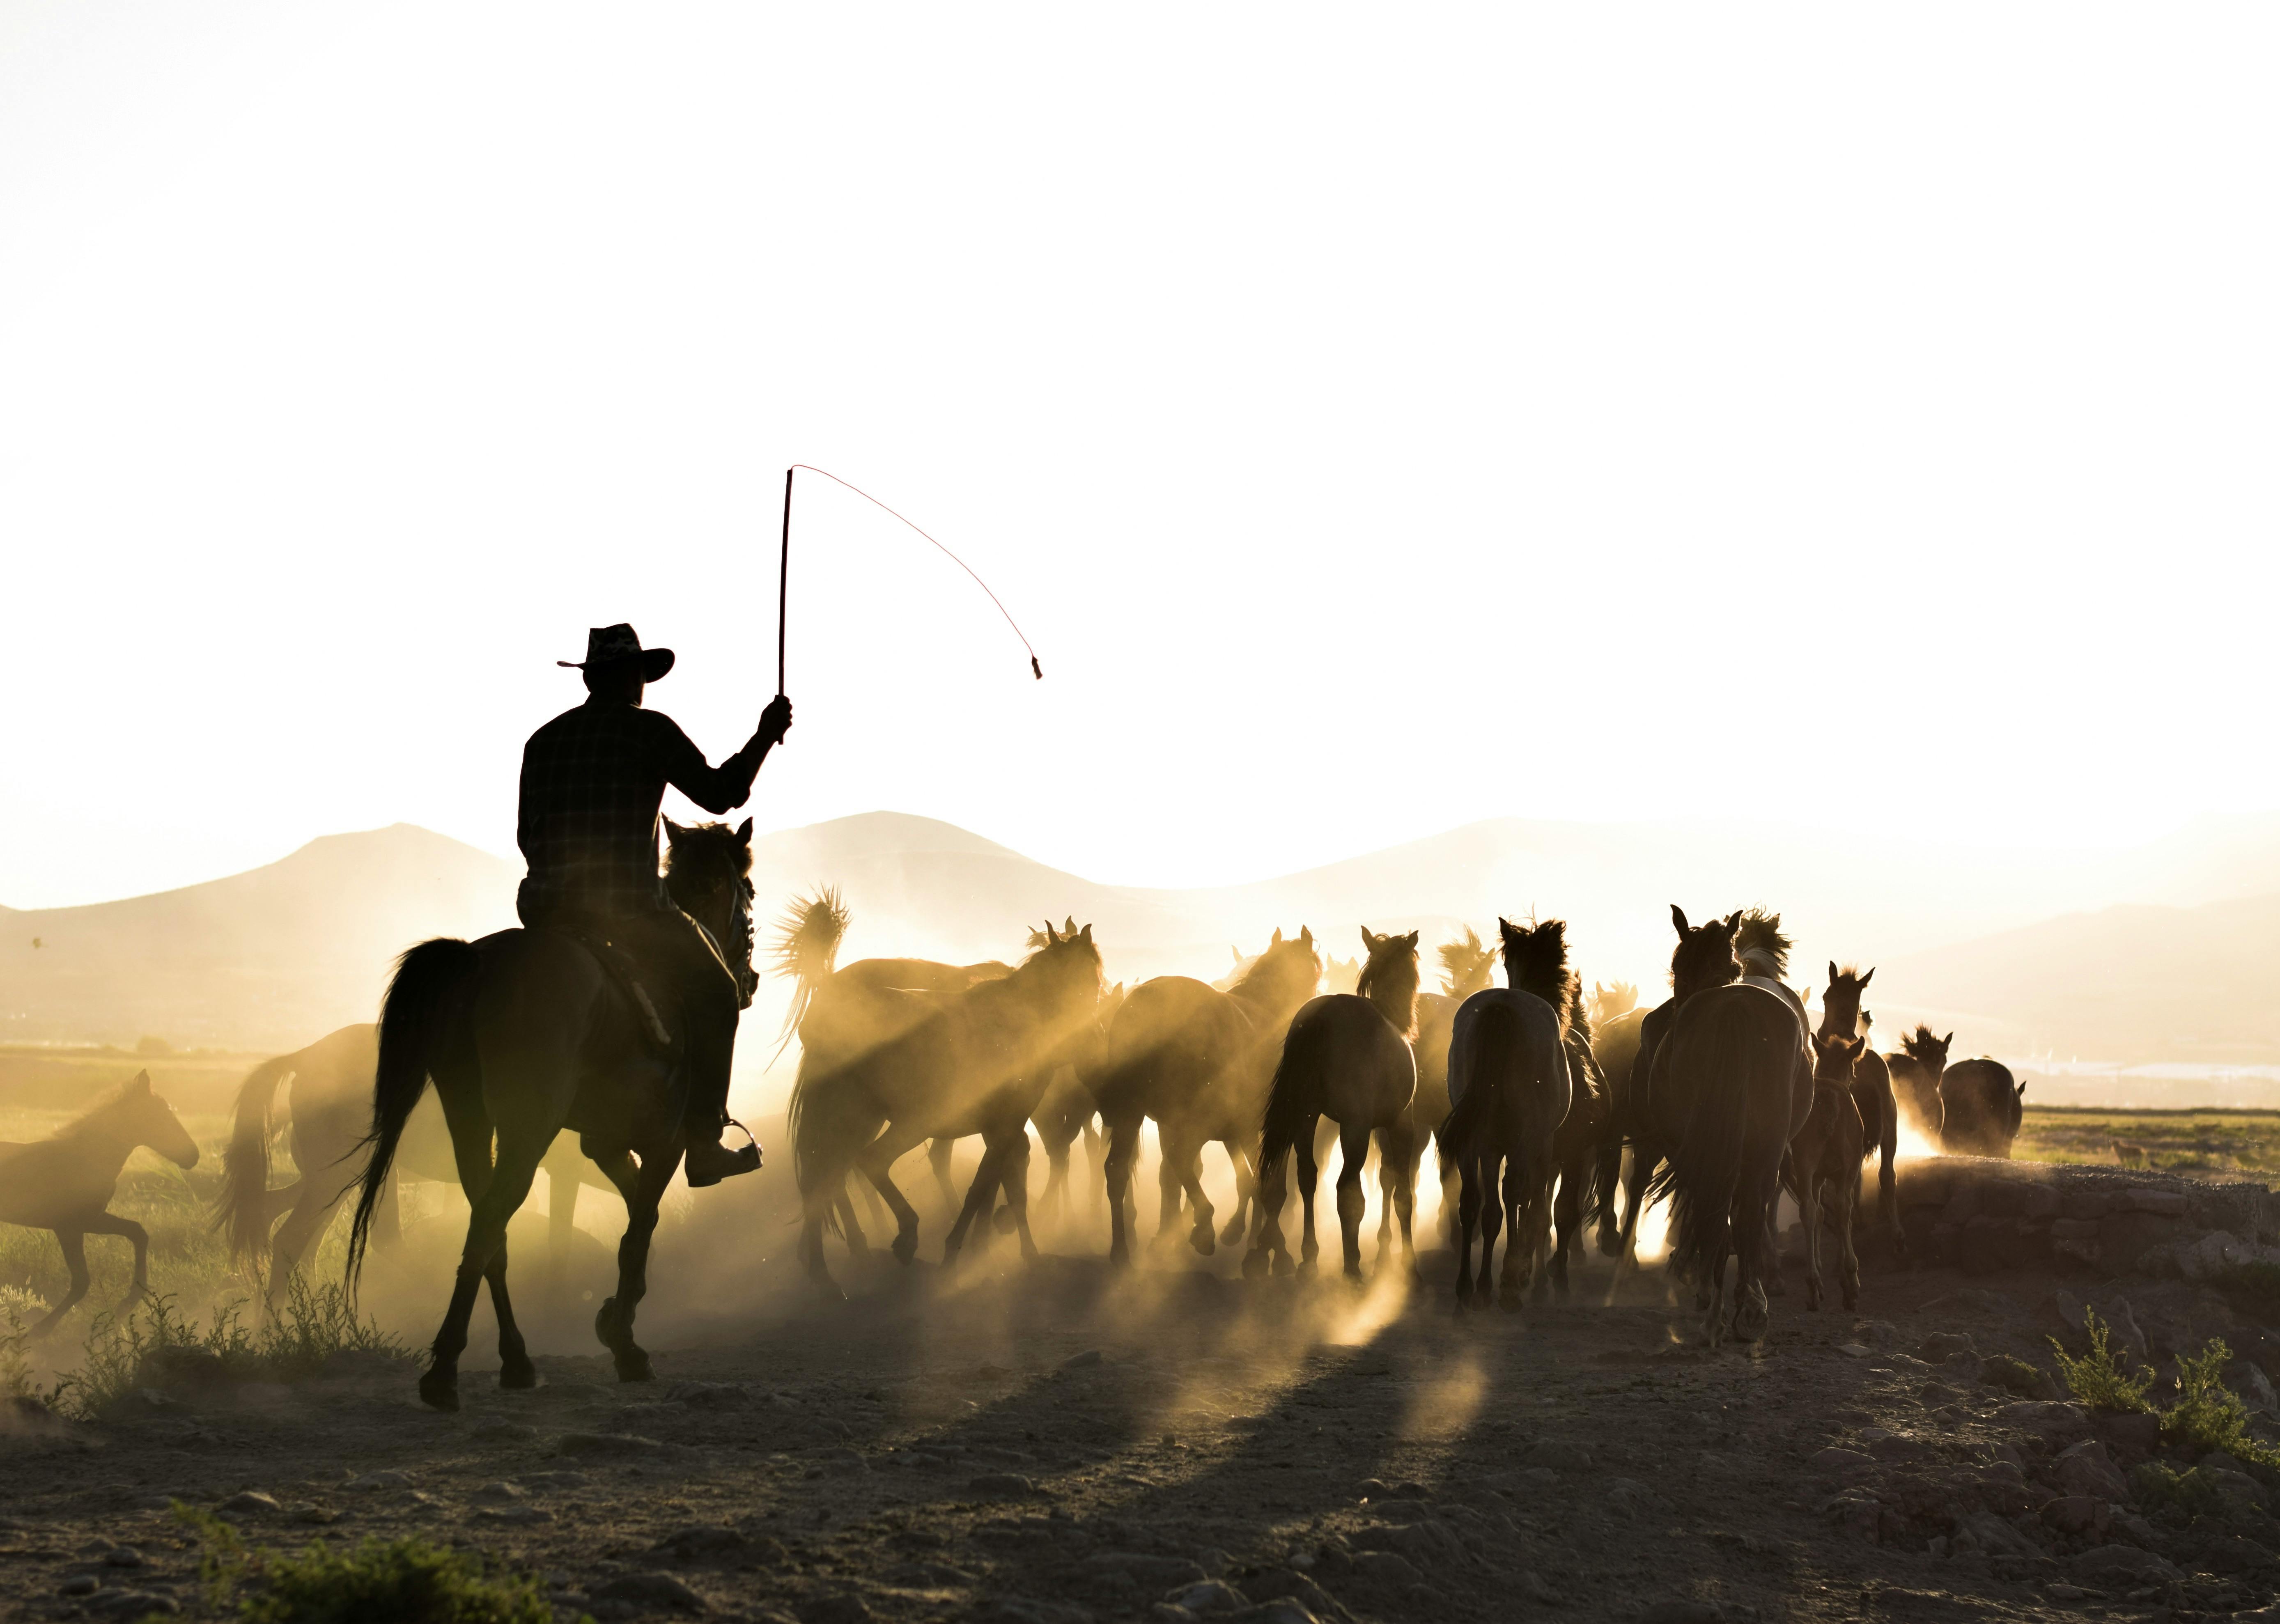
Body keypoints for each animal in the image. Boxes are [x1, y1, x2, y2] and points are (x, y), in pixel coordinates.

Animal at [0, 1072, 200, 1341]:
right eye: (160, 1115)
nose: (194, 1155)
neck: (86, 1159)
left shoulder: (92, 1220)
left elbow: (138, 1232)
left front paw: (129, 1301)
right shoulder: (68, 1227)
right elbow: (81, 1283)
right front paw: (33, 1334)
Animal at [344, 817, 757, 1414]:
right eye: (748, 893)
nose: (747, 980)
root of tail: (477, 964)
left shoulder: (606, 1144)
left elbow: (641, 1219)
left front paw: (614, 1317)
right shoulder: (666, 1143)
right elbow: (637, 1232)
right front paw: (626, 1343)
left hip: (471, 1118)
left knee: (489, 1229)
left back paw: (515, 1360)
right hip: (528, 1128)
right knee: (492, 1220)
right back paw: (444, 1370)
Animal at [784, 926, 1103, 1295]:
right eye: (1087, 980)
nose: (1094, 1040)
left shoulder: (1003, 1128)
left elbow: (1007, 1189)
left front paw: (1023, 1252)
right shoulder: (1004, 1127)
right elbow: (981, 1190)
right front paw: (956, 1255)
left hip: (859, 1120)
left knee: (825, 1179)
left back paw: (826, 1269)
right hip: (901, 1121)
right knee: (865, 1163)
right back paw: (900, 1239)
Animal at [1240, 926, 1413, 1277]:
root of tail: (1322, 1017)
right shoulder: (1399, 1125)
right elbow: (1403, 1194)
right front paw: (1409, 1265)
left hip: (1305, 1118)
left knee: (1305, 1178)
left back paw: (1306, 1257)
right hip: (1353, 1128)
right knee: (1346, 1191)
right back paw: (1351, 1267)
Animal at [1441, 921, 1568, 1314]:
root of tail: (1500, 1007)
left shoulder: (1490, 1146)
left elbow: (1493, 1211)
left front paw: (1489, 1281)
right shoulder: (1541, 1145)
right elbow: (1533, 1207)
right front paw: (1520, 1274)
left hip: (1473, 1141)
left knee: (1471, 1202)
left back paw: (1467, 1288)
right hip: (1527, 1138)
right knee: (1513, 1193)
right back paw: (1507, 1287)